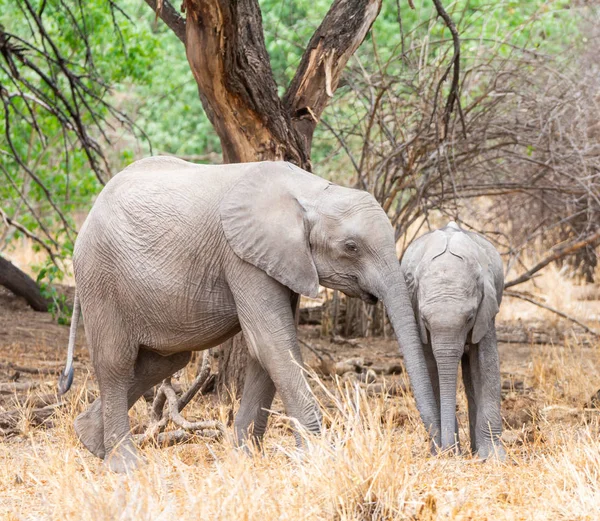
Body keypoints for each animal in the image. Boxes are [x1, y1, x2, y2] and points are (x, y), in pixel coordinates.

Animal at [59, 156, 436, 470]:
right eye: (351, 247)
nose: (437, 449)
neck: (310, 191)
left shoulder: (280, 261)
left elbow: (266, 348)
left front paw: (245, 456)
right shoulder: (242, 257)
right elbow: (273, 343)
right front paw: (320, 460)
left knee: (162, 362)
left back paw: (89, 440)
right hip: (101, 277)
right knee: (117, 364)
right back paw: (124, 466)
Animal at [400, 221, 504, 458]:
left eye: (470, 318)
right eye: (424, 320)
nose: (447, 449)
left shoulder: (486, 310)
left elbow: (485, 364)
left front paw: (494, 458)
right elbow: (431, 368)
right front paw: (443, 454)